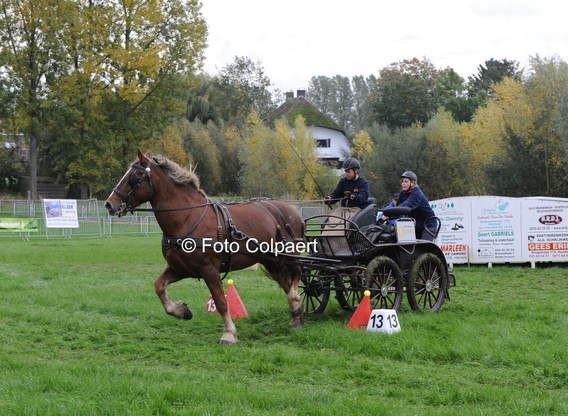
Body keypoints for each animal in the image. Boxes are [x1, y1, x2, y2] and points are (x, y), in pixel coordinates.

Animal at [103, 150, 304, 344]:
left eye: (134, 176)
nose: (109, 204)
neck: (187, 218)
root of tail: (291, 209)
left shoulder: (209, 270)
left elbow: (221, 301)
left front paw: (229, 333)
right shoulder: (181, 268)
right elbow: (159, 286)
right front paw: (181, 310)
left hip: (288, 254)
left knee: (297, 274)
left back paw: (296, 301)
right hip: (271, 260)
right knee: (286, 281)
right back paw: (296, 314)